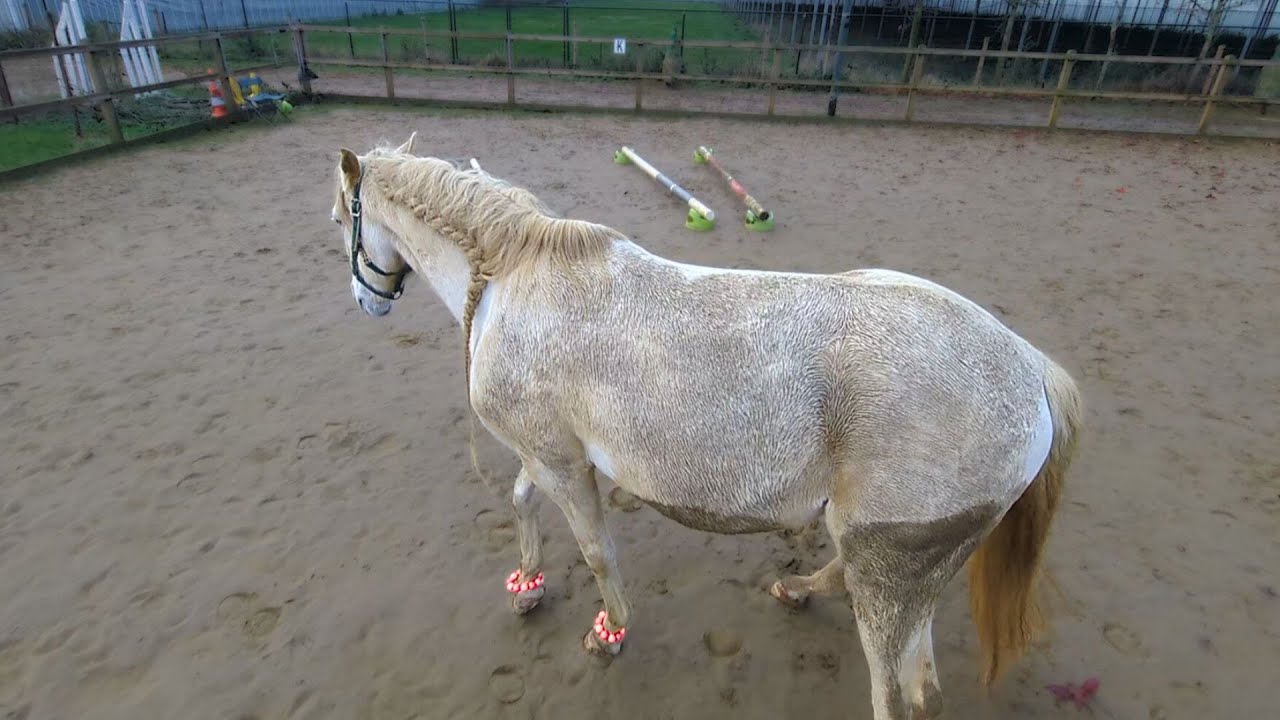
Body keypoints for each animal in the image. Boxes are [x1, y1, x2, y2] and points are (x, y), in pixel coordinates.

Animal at [328, 133, 1083, 720]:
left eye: (341, 218)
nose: (367, 299)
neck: (517, 281)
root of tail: (1031, 371)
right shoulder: (547, 454)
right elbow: (519, 501)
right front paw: (528, 585)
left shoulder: (562, 463)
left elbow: (597, 552)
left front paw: (609, 633)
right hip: (903, 570)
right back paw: (795, 590)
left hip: (892, 573)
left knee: (897, 692)